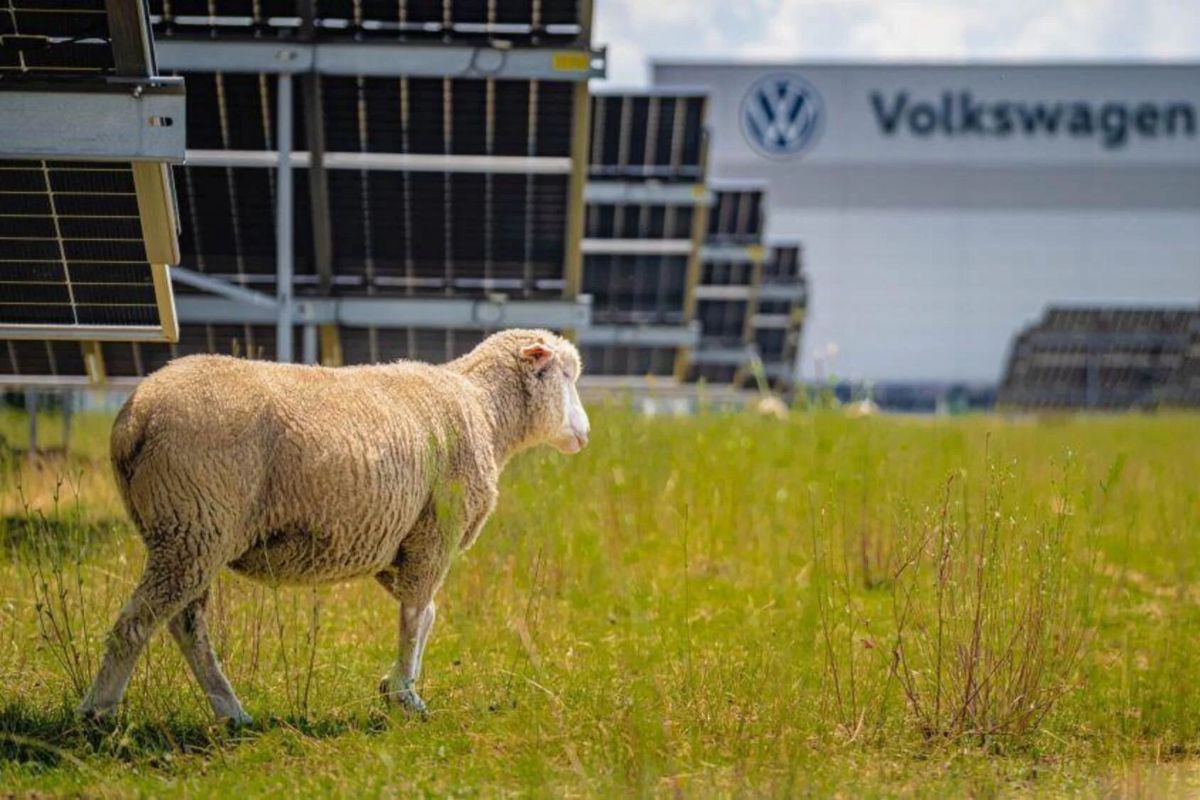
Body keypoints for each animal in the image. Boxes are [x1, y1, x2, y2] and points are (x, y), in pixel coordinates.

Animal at [77, 328, 590, 723]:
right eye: (566, 376)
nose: (584, 434)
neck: (484, 409)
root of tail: (135, 416)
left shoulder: (396, 541)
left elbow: (424, 613)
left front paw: (395, 685)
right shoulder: (435, 530)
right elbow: (416, 615)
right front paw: (405, 694)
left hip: (185, 529)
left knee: (185, 624)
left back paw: (230, 711)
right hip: (194, 521)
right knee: (137, 624)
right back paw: (98, 712)